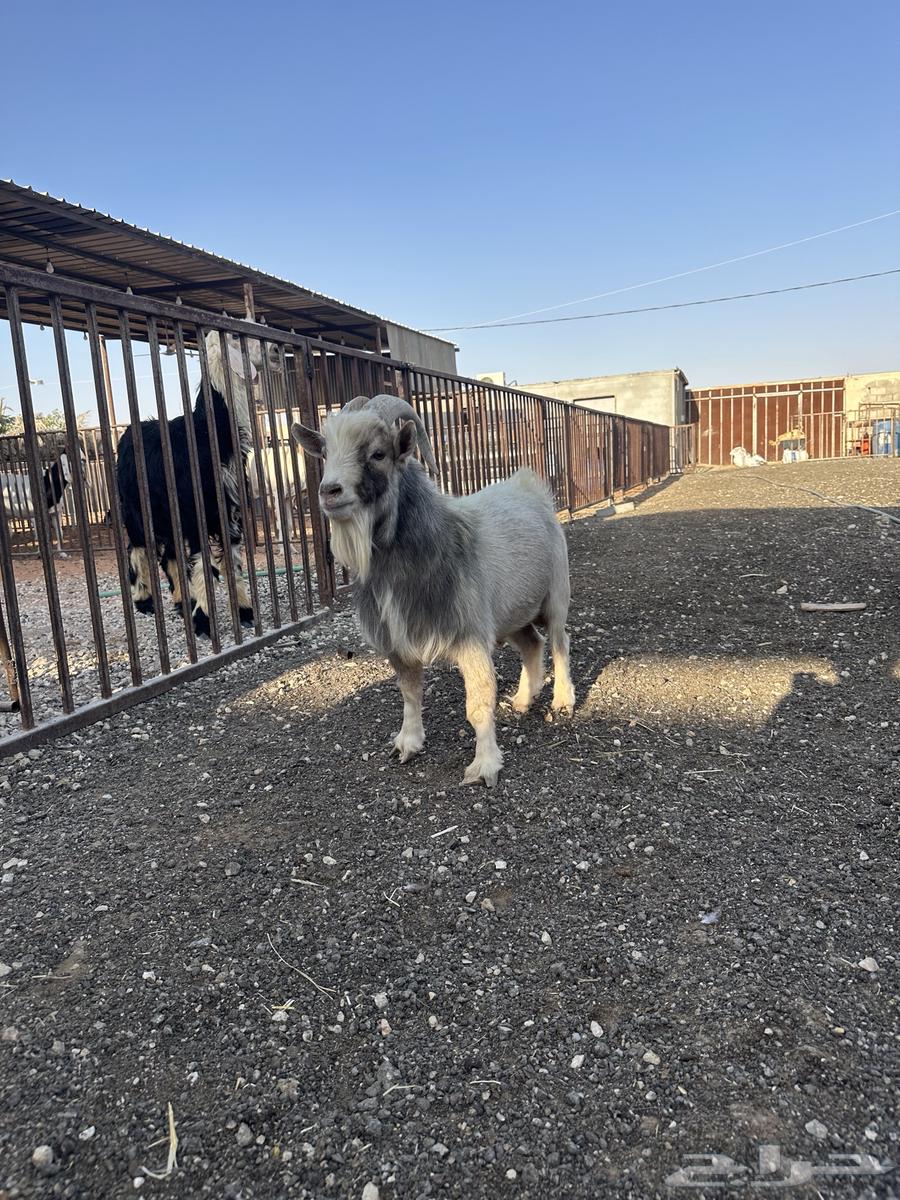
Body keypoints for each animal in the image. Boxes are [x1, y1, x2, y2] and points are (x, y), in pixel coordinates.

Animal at [116, 331, 270, 637]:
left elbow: (233, 563)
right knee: (137, 548)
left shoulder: (229, 513)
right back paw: (144, 601)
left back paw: (182, 602)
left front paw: (245, 612)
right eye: (235, 336)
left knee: (169, 557)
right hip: (135, 508)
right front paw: (204, 622)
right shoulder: (197, 512)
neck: (210, 437)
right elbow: (203, 566)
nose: (271, 351)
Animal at [293, 395, 574, 786]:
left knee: (561, 643)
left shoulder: (471, 637)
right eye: (325, 452)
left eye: (378, 453)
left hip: (555, 596)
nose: (329, 491)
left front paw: (484, 766)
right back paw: (521, 700)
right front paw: (408, 744)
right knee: (533, 643)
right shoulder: (398, 643)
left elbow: (478, 703)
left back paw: (562, 701)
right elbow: (410, 695)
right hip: (512, 615)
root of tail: (528, 486)